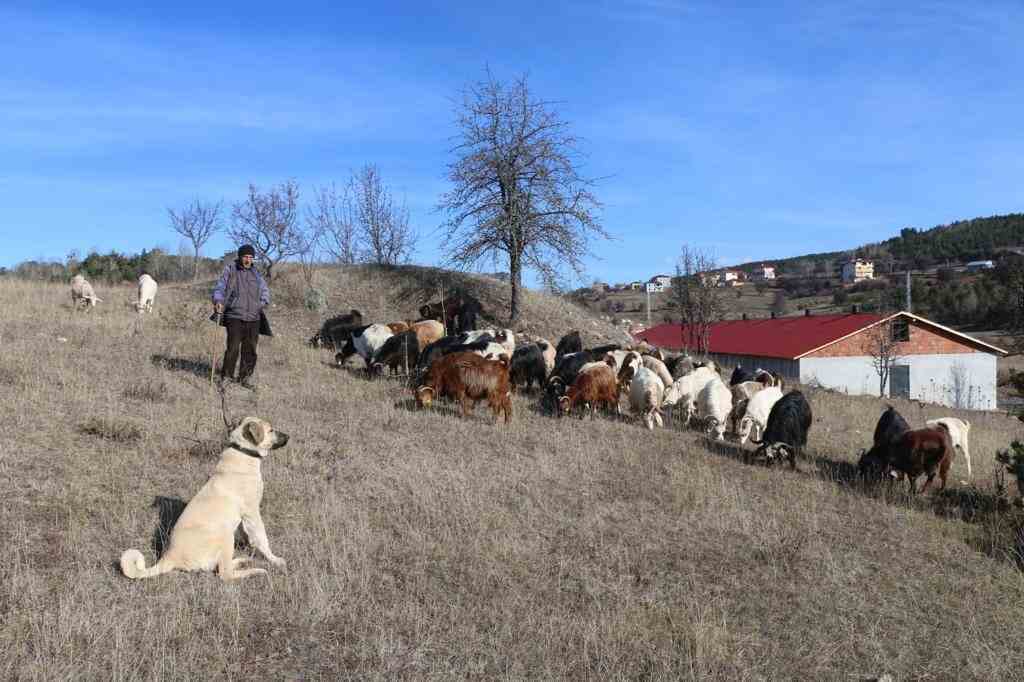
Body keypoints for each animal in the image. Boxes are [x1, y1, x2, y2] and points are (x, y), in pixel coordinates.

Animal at [120, 413, 288, 577]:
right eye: (271, 430)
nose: (288, 436)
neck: (243, 451)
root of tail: (169, 557)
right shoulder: (252, 512)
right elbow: (262, 539)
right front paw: (274, 559)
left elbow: (248, 534)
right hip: (225, 534)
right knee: (225, 574)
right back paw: (256, 571)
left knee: (220, 567)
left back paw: (242, 560)